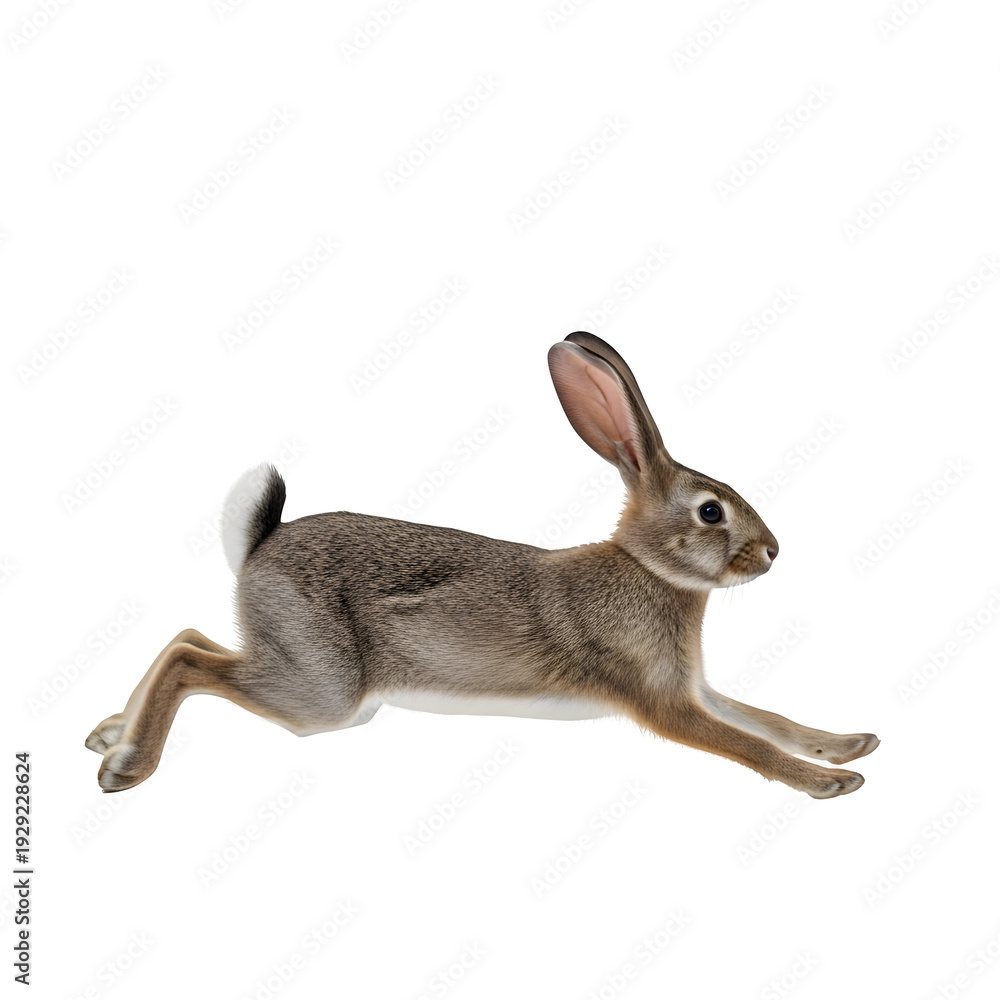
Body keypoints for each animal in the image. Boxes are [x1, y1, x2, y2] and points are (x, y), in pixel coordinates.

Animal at [86, 331, 879, 797]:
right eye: (711, 512)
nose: (772, 552)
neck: (649, 569)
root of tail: (260, 544)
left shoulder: (694, 687)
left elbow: (763, 716)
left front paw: (848, 744)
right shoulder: (661, 700)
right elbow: (744, 742)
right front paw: (830, 783)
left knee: (187, 637)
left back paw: (108, 732)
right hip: (324, 692)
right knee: (193, 660)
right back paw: (125, 764)